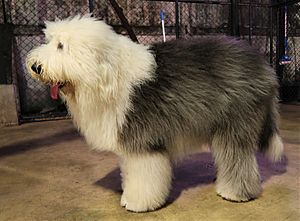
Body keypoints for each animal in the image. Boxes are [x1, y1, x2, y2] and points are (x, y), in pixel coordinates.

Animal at [26, 14, 284, 212]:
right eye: (51, 41)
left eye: (61, 46)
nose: (35, 67)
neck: (108, 76)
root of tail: (264, 66)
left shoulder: (144, 141)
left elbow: (144, 176)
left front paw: (137, 203)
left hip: (236, 123)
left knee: (238, 157)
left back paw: (235, 192)